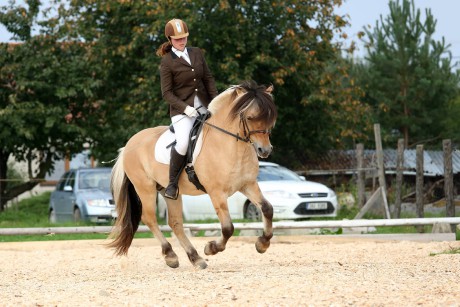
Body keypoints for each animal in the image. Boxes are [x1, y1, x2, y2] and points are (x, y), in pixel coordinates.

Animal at [108, 80, 278, 270]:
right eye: (249, 117)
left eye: (271, 118)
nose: (265, 150)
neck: (230, 145)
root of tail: (129, 144)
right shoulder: (216, 193)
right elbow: (228, 228)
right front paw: (211, 248)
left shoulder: (247, 184)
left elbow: (267, 209)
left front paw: (262, 244)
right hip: (145, 189)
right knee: (150, 218)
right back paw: (170, 255)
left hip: (169, 191)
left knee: (175, 222)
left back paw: (195, 258)